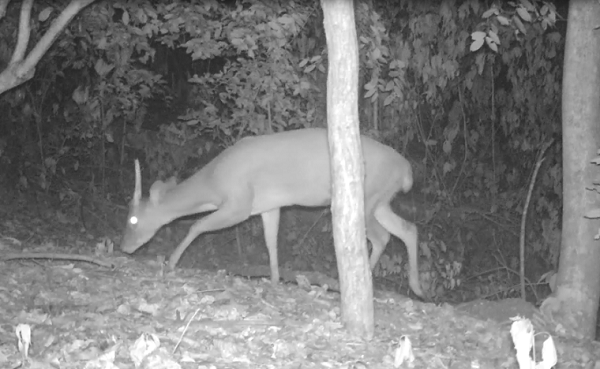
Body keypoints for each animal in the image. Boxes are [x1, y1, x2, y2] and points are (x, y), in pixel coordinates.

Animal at [120, 126, 422, 296]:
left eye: (133, 219)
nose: (124, 247)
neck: (213, 184)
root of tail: (407, 170)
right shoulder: (268, 205)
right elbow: (270, 241)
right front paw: (275, 279)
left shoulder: (239, 203)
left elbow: (197, 225)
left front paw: (172, 261)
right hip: (381, 199)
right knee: (408, 229)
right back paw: (416, 286)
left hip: (367, 196)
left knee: (382, 236)